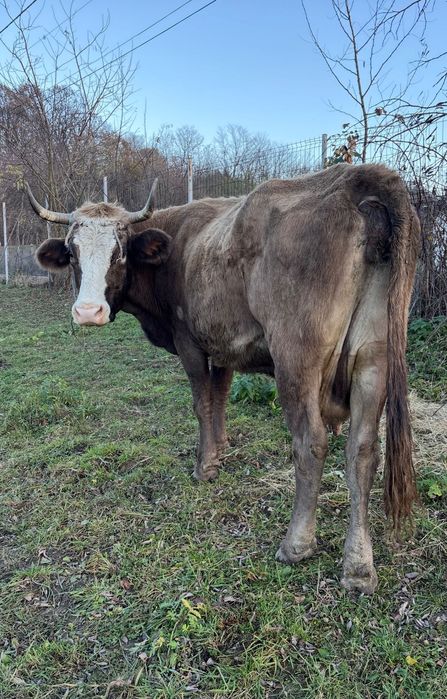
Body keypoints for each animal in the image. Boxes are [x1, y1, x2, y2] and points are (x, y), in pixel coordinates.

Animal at [28, 163, 420, 594]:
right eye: (72, 253)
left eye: (120, 251)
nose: (88, 312)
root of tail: (355, 177)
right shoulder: (225, 346)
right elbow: (219, 400)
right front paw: (220, 448)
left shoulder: (189, 341)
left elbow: (202, 403)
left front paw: (205, 466)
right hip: (374, 358)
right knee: (363, 451)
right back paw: (359, 565)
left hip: (296, 358)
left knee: (311, 443)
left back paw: (297, 544)